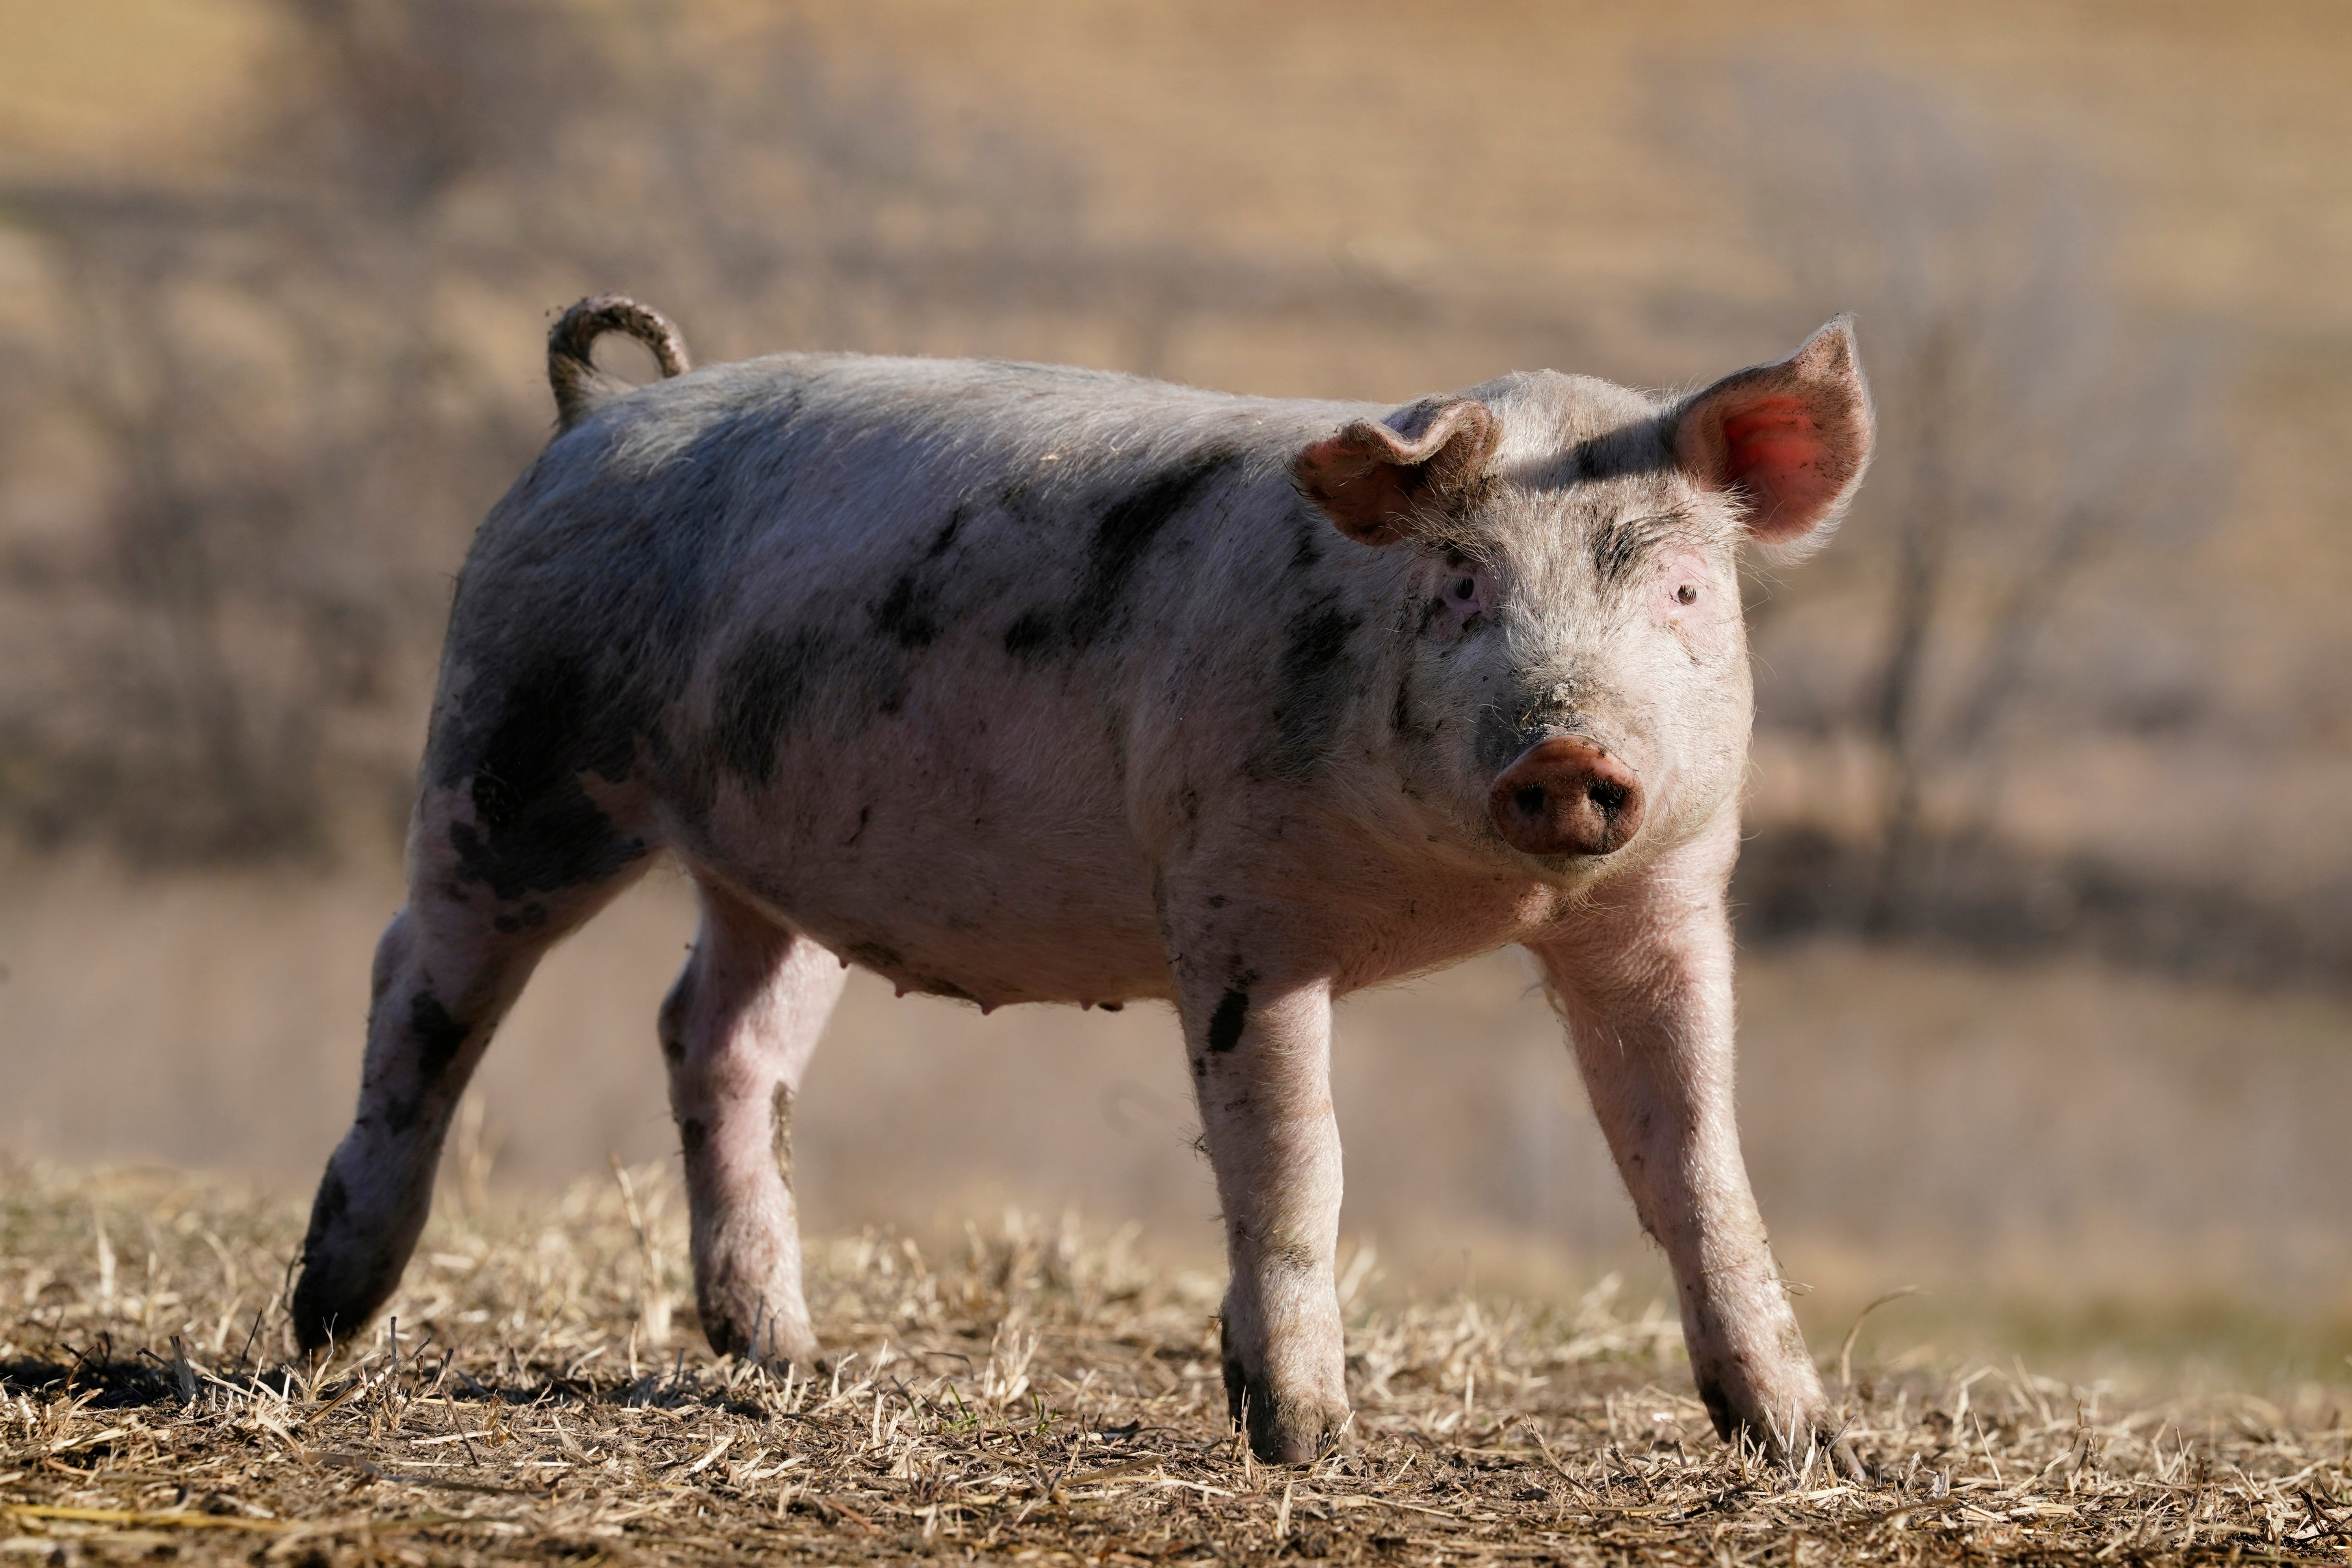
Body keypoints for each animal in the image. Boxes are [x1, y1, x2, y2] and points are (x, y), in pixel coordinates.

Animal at [292, 293, 1873, 1468]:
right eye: (1461, 584)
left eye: (1680, 591)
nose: (1565, 750)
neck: (1477, 895)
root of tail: (599, 416)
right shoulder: (1234, 906)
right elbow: (1295, 1162)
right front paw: (1310, 1443)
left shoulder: (1667, 901)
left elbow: (1695, 1160)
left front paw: (1808, 1446)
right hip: (516, 750)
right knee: (417, 977)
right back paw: (325, 1319)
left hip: (774, 860)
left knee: (715, 1031)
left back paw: (787, 1354)